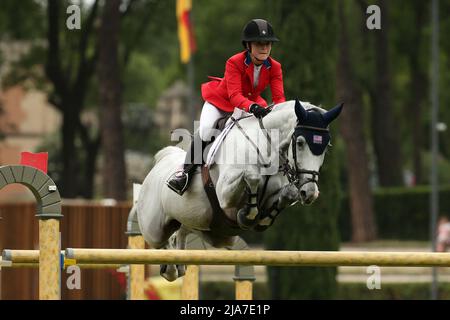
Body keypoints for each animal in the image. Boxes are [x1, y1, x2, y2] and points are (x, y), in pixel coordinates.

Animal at [135, 99, 342, 280]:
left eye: (326, 146)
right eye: (299, 143)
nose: (310, 192)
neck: (266, 147)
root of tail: (160, 162)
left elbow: (285, 195)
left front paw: (263, 217)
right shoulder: (224, 193)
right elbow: (252, 176)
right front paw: (248, 214)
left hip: (213, 232)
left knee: (182, 231)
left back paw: (179, 262)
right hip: (154, 229)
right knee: (161, 243)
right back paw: (169, 265)